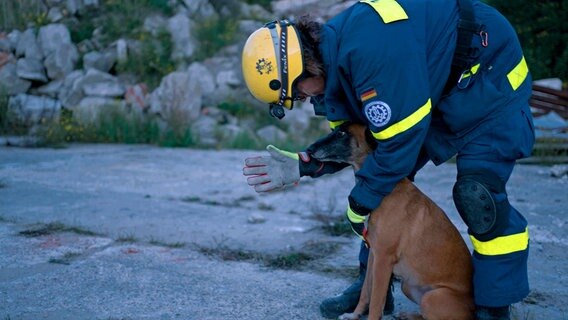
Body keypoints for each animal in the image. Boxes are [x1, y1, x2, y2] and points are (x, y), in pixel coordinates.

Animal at [308, 123, 472, 320]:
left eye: (342, 133)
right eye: (335, 129)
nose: (309, 150)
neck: (381, 190)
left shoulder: (383, 260)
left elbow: (376, 301)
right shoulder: (374, 255)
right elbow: (366, 292)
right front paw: (354, 315)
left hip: (432, 297)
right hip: (408, 286)